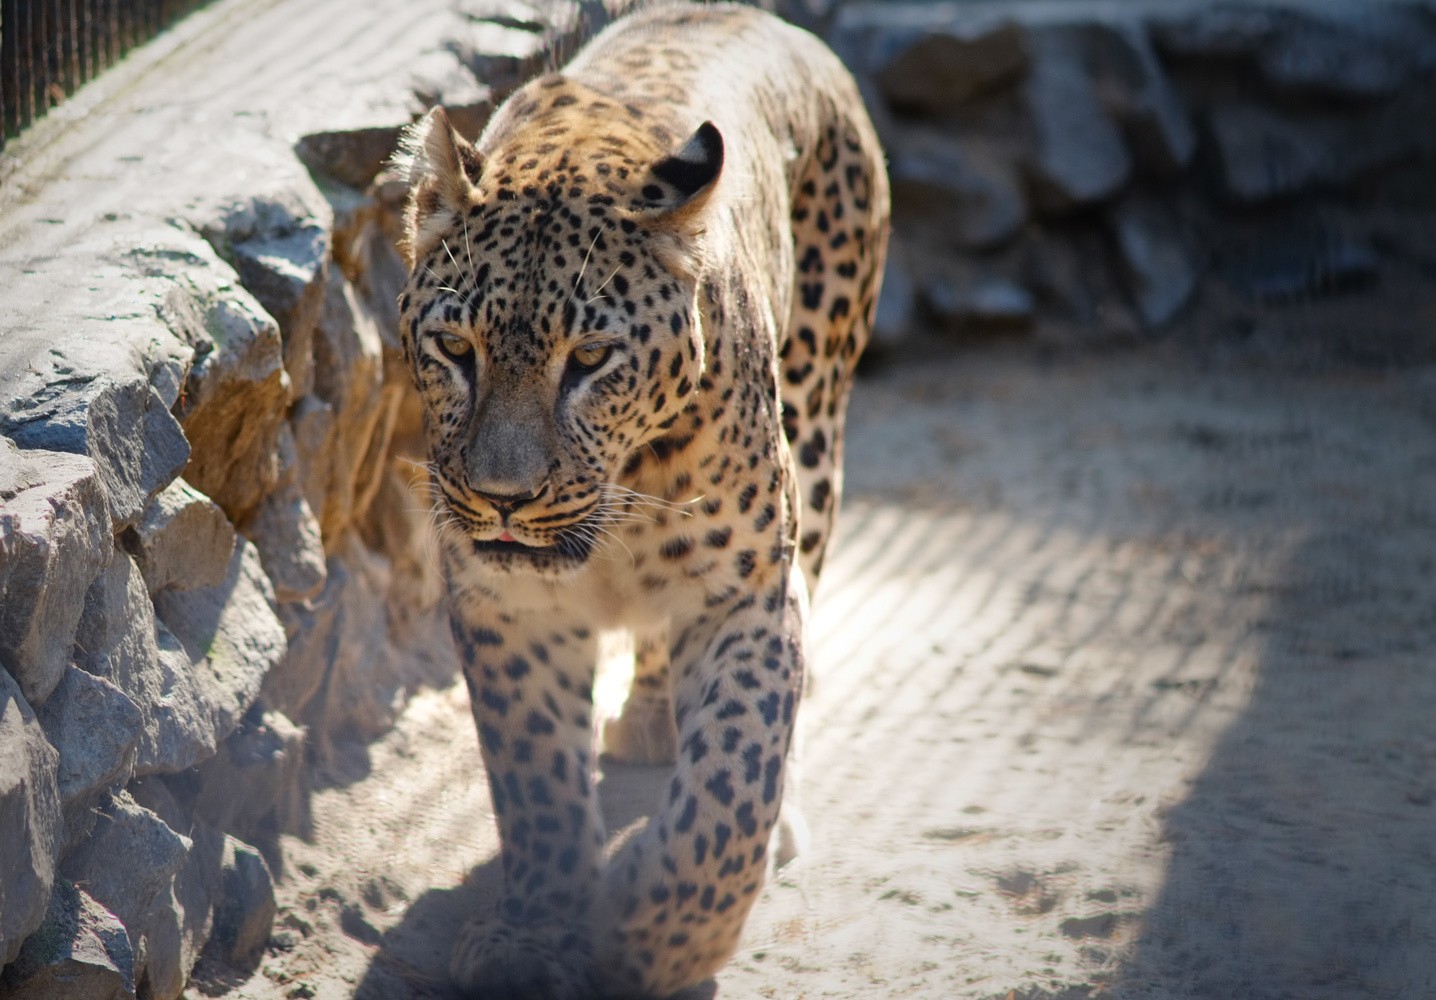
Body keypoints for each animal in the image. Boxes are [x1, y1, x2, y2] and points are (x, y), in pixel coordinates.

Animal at [393, 3, 884, 994]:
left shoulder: (748, 590)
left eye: (589, 361)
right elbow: (535, 781)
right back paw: (654, 710)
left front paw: (662, 938)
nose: (503, 500)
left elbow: (733, 775)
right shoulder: (506, 604)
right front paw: (534, 934)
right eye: (456, 348)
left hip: (817, 425)